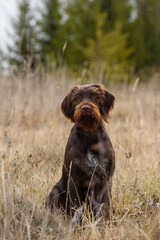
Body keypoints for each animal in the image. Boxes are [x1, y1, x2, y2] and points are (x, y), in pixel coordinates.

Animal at [45, 84, 115, 225]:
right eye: (77, 98)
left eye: (95, 96)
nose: (85, 108)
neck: (89, 135)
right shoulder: (74, 179)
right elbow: (76, 207)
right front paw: (78, 226)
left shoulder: (106, 178)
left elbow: (105, 206)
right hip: (55, 192)